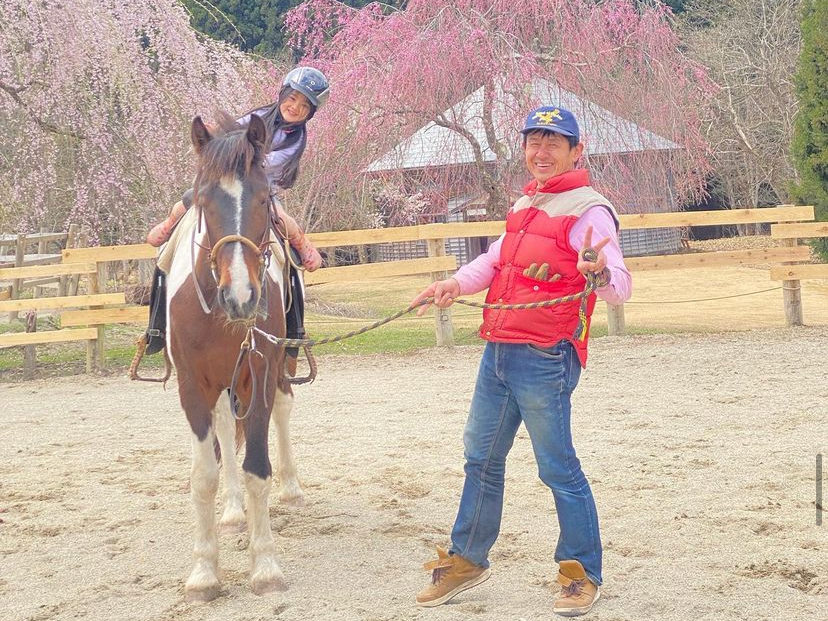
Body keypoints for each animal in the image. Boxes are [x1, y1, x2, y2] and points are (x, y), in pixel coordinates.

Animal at [164, 113, 303, 601]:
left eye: (265, 198)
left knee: (283, 410)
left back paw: (292, 488)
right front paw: (205, 573)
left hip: (280, 367)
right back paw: (231, 512)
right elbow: (204, 475)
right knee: (226, 427)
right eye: (204, 200)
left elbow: (257, 468)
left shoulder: (258, 376)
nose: (241, 296)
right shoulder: (192, 386)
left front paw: (265, 567)